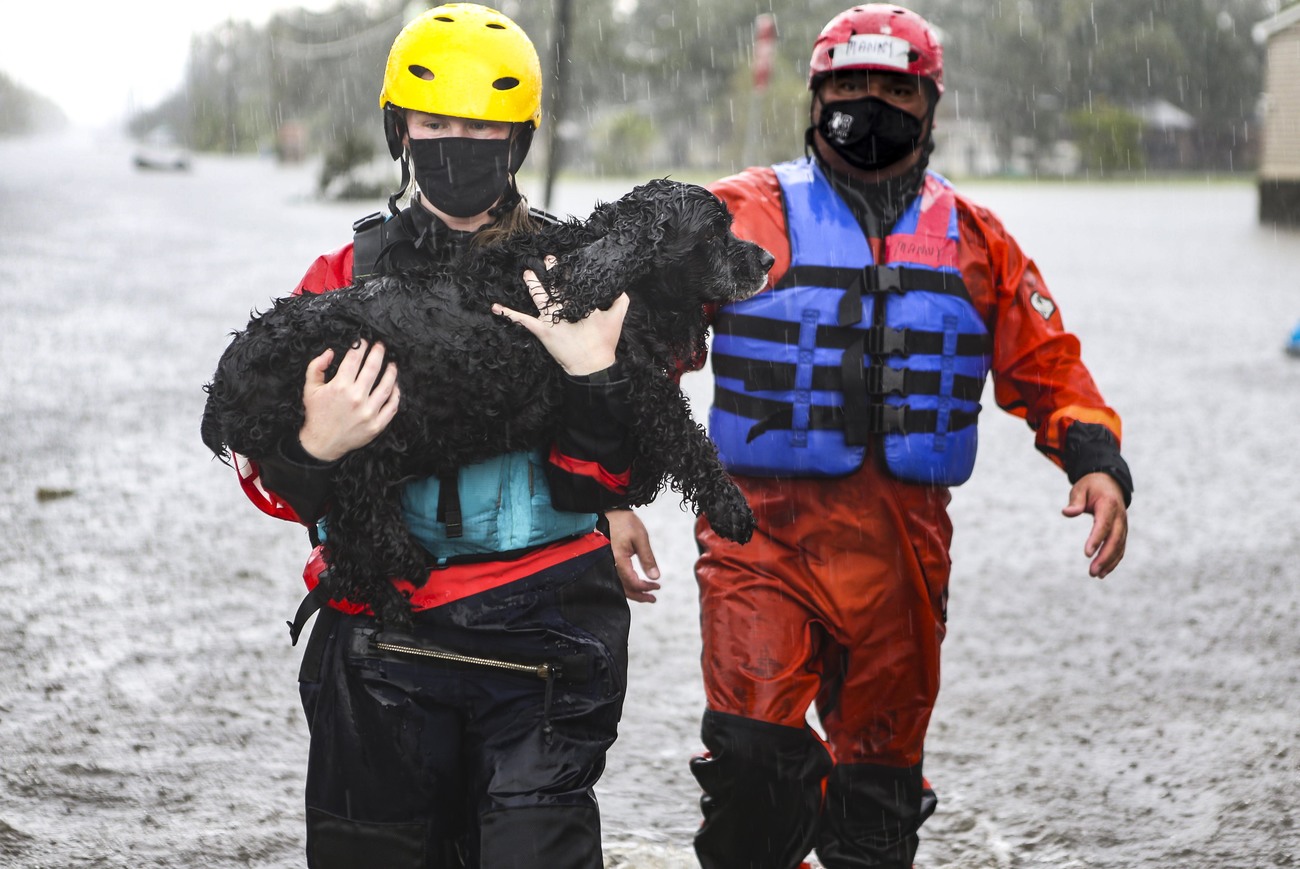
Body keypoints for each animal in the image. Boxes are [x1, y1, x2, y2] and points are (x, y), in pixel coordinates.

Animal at [200, 178, 769, 624]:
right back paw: (403, 571)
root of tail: (227, 375)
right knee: (348, 527)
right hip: (358, 438)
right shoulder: (641, 380)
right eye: (714, 233)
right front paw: (731, 508)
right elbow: (688, 440)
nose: (765, 258)